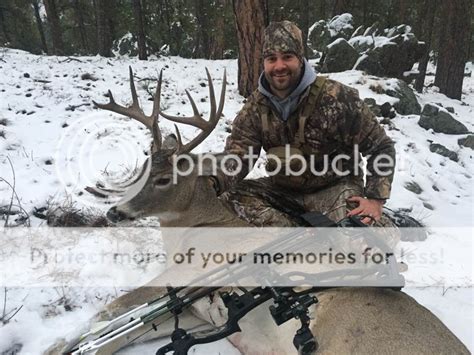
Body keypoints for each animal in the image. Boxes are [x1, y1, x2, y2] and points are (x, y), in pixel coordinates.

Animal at [46, 68, 468, 354]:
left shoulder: (185, 276)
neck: (194, 227)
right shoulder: (196, 310)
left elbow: (107, 312)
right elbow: (121, 332)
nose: (115, 212)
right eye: (142, 167)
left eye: (165, 179)